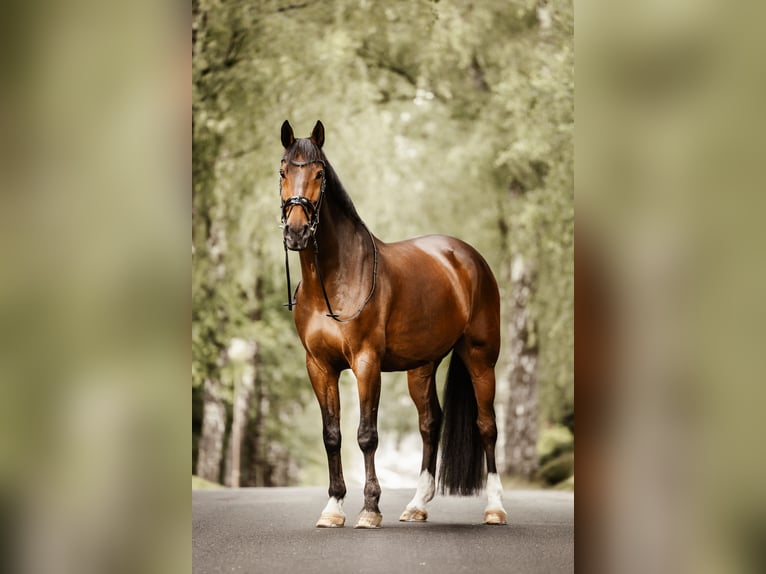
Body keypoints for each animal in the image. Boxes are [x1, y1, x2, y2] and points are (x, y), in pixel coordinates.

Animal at [278, 120, 507, 528]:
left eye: (319, 173)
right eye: (283, 171)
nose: (297, 232)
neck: (334, 281)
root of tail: (467, 256)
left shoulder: (367, 363)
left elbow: (366, 435)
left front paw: (370, 509)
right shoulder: (319, 367)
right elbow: (332, 434)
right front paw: (333, 508)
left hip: (481, 358)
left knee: (487, 426)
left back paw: (495, 508)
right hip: (422, 366)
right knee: (430, 423)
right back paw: (416, 505)